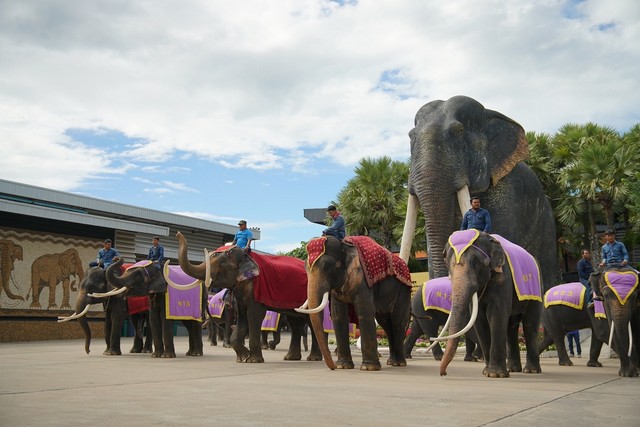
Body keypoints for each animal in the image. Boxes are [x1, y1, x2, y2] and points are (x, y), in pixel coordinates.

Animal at [296, 234, 410, 372]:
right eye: (305, 267)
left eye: (327, 266)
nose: (333, 367)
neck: (344, 246)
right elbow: (338, 315)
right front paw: (343, 366)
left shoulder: (362, 279)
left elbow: (364, 312)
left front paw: (368, 368)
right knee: (386, 324)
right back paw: (390, 362)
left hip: (403, 290)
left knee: (398, 322)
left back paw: (398, 363)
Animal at [436, 231, 540, 378]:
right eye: (448, 265)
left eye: (479, 263)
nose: (443, 373)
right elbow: (480, 319)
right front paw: (487, 372)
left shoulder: (503, 277)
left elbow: (497, 314)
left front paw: (496, 374)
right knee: (511, 326)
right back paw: (513, 369)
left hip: (536, 289)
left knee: (530, 323)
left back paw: (531, 371)